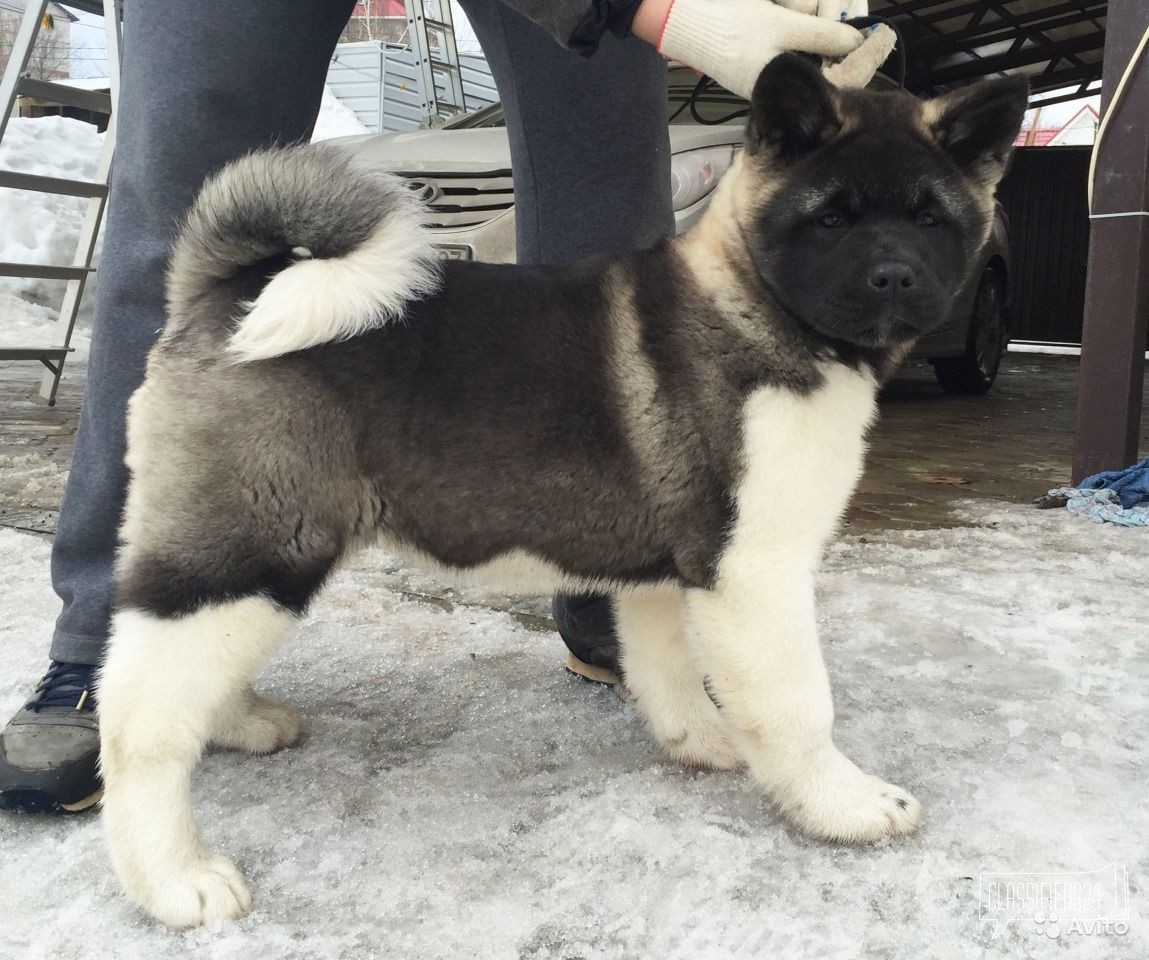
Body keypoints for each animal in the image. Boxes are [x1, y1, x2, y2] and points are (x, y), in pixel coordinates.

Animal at [98, 56, 1029, 927]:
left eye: (929, 219)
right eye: (831, 217)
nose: (893, 278)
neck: (751, 303)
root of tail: (230, 290)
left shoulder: (664, 571)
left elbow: (669, 668)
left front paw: (700, 742)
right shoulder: (753, 570)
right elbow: (799, 704)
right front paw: (845, 805)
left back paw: (239, 723)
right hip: (251, 546)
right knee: (139, 715)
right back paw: (174, 879)